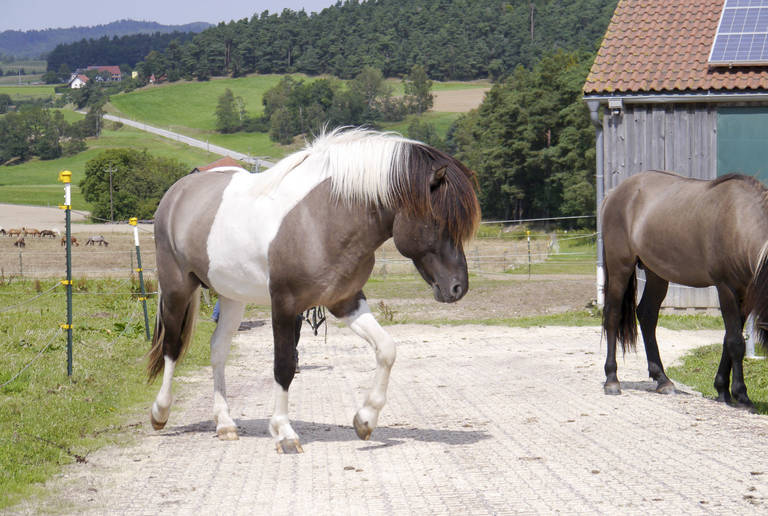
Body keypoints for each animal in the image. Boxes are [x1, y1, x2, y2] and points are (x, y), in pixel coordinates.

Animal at [147, 127, 480, 450]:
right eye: (437, 221)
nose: (457, 287)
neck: (322, 219)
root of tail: (178, 192)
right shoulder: (284, 304)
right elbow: (284, 364)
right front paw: (284, 433)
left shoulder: (345, 300)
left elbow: (386, 349)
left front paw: (365, 419)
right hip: (177, 287)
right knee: (172, 347)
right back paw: (160, 412)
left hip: (231, 295)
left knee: (218, 348)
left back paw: (225, 423)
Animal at [600, 171, 768, 410]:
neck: (738, 220)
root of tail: (615, 193)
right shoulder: (726, 288)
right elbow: (736, 342)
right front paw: (741, 395)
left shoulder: (745, 295)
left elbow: (729, 338)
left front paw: (722, 390)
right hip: (619, 267)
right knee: (613, 315)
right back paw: (612, 380)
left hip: (656, 273)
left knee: (647, 315)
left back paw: (663, 380)